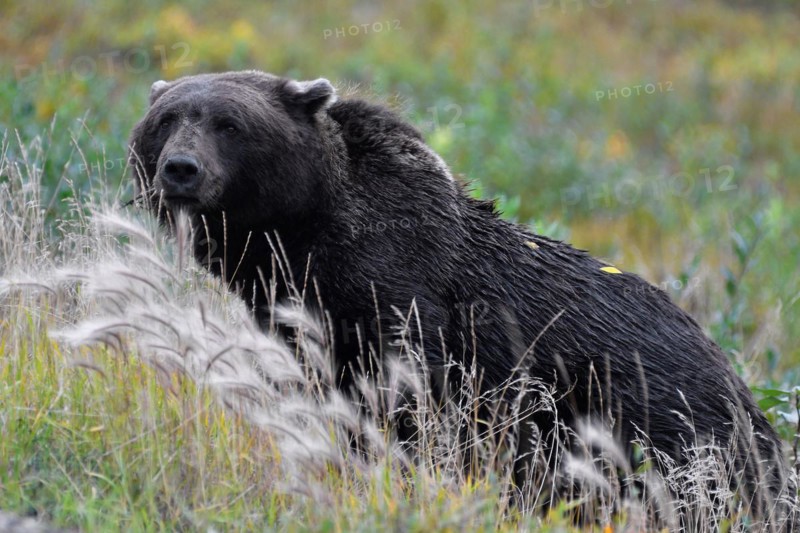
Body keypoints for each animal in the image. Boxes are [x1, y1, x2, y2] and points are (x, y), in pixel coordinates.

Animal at [128, 70, 795, 523]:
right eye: (168, 119)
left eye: (229, 124)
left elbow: (407, 402)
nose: (180, 169)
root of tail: (739, 384)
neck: (302, 237)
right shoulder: (296, 318)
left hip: (658, 417)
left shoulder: (403, 300)